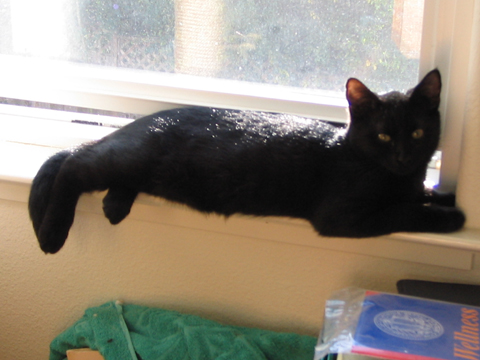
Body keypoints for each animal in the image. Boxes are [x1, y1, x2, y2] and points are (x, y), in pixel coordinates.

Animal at [30, 69, 464, 253]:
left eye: (417, 134)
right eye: (384, 136)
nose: (404, 156)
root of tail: (138, 122)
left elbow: (418, 195)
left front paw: (441, 196)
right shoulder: (343, 215)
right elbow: (403, 211)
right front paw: (450, 216)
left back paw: (115, 204)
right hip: (127, 157)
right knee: (75, 161)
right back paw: (53, 232)